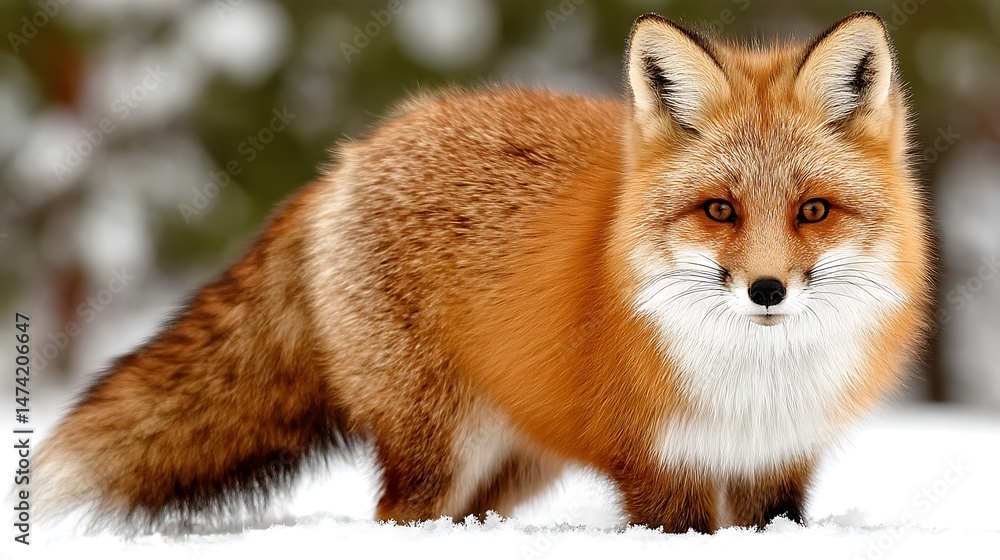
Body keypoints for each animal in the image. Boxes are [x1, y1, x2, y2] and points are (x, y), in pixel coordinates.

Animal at [29, 11, 930, 534]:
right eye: (719, 210)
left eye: (812, 211)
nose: (766, 290)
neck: (754, 380)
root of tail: (354, 154)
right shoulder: (653, 465)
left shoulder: (776, 464)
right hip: (438, 446)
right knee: (396, 516)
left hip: (516, 464)